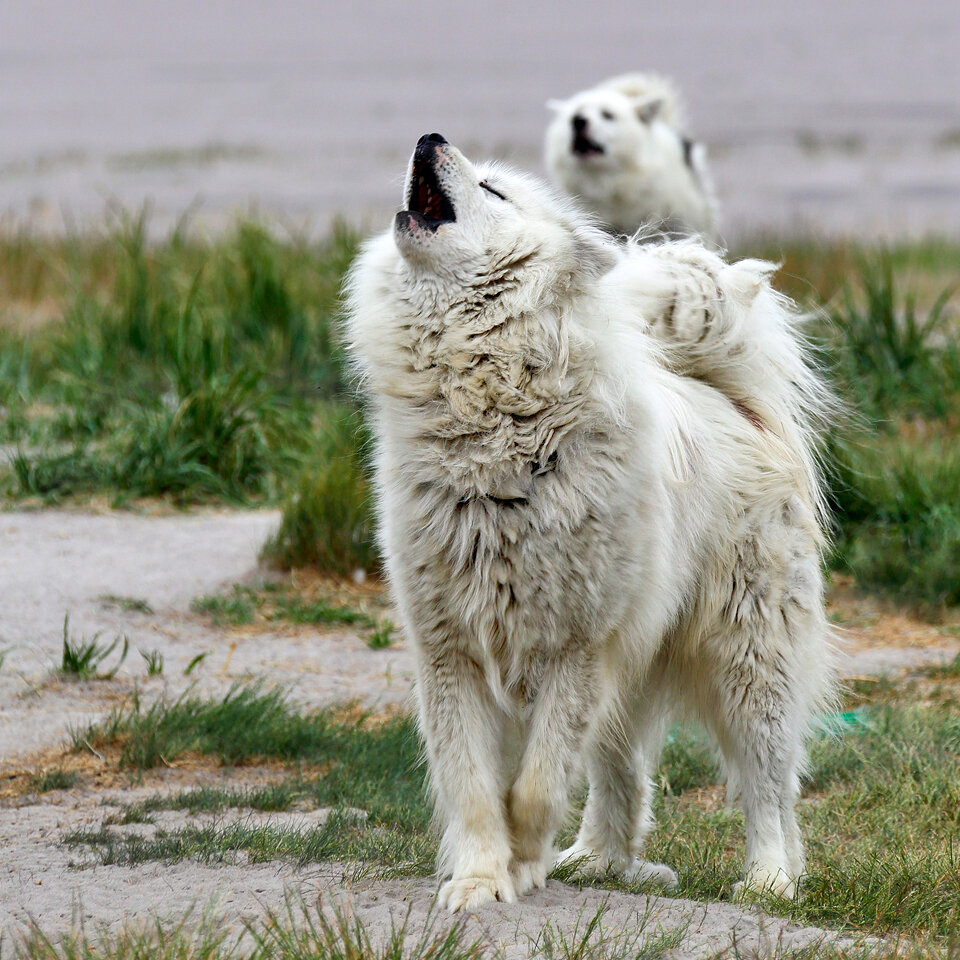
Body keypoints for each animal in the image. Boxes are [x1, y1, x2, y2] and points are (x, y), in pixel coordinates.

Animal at [344, 133, 832, 908]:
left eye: (494, 189)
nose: (428, 138)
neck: (490, 426)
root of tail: (732, 401)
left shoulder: (574, 649)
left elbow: (535, 786)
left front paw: (521, 862)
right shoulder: (449, 652)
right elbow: (473, 787)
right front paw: (479, 881)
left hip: (749, 665)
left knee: (770, 788)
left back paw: (769, 879)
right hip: (634, 669)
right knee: (624, 777)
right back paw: (603, 861)